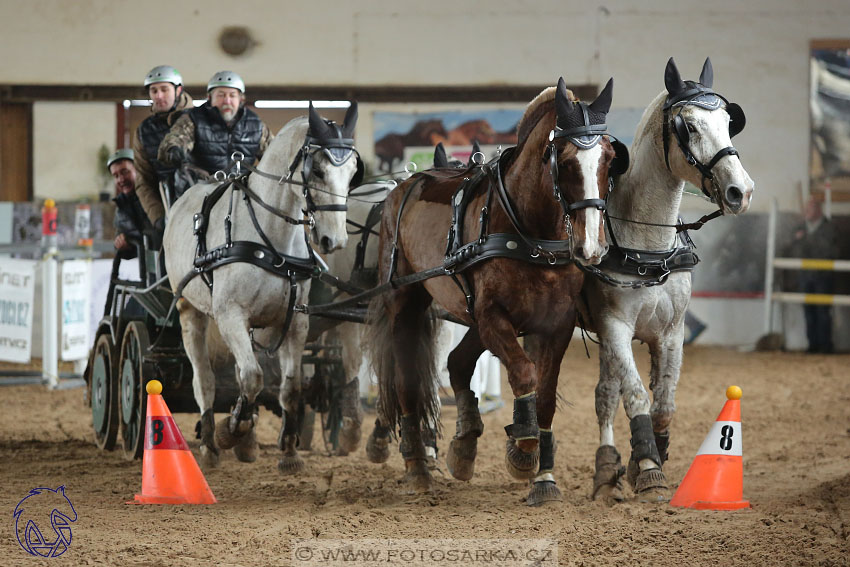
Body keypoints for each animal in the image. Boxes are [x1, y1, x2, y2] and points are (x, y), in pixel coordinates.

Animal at [165, 104, 358, 472]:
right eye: (318, 170)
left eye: (353, 170)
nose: (336, 240)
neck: (272, 241)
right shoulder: (229, 316)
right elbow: (253, 377)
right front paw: (230, 430)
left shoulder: (295, 322)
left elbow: (290, 387)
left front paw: (289, 451)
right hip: (191, 312)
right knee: (205, 381)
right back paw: (211, 444)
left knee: (240, 374)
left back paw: (248, 438)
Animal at [368, 79, 628, 506]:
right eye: (564, 161)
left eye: (609, 158)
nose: (591, 247)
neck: (530, 233)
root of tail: (403, 184)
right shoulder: (492, 317)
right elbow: (524, 373)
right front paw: (523, 448)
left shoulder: (555, 325)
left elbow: (546, 394)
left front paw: (544, 477)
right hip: (405, 301)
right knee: (408, 378)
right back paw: (418, 467)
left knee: (457, 362)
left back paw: (465, 442)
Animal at [580, 56, 752, 502]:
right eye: (687, 126)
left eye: (729, 121)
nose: (741, 191)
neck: (648, 244)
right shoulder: (616, 326)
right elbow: (638, 396)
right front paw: (648, 469)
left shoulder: (671, 333)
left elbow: (663, 403)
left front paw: (652, 454)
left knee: (603, 394)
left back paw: (606, 470)